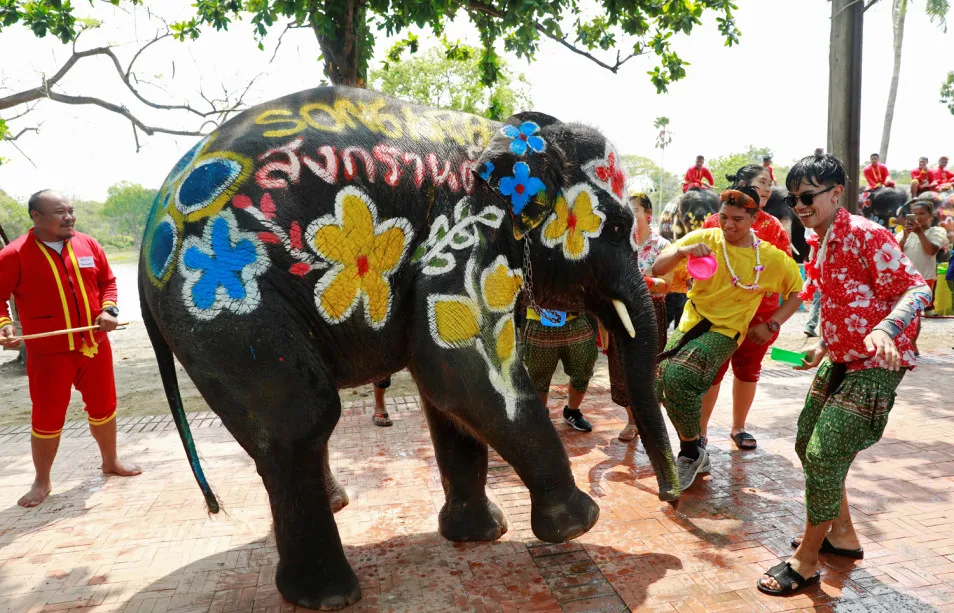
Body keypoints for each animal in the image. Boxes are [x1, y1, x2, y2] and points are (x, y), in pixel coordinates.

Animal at [139, 85, 676, 608]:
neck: (505, 136)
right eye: (616, 227)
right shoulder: (462, 237)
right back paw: (328, 595)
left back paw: (334, 512)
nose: (670, 497)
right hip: (227, 311)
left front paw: (480, 535)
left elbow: (446, 396)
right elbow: (463, 377)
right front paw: (580, 524)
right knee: (301, 420)